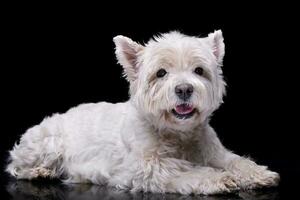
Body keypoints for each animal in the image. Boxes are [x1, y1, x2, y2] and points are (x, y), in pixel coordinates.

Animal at [5, 30, 280, 195]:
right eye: (161, 73)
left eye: (199, 70)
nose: (184, 89)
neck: (177, 135)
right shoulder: (145, 168)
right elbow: (182, 169)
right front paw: (218, 178)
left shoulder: (214, 152)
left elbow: (235, 161)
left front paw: (258, 173)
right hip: (48, 144)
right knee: (16, 165)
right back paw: (40, 172)